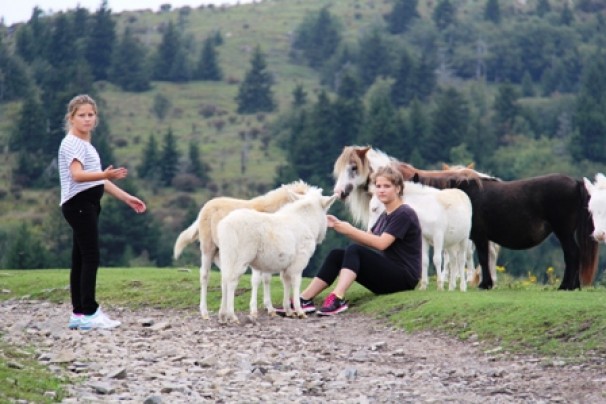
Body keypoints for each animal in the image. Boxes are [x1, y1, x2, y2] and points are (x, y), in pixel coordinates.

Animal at [173, 181, 312, 318]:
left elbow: (266, 279)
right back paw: (205, 312)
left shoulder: (269, 255)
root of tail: (205, 208)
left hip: (222, 251)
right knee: (204, 275)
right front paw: (254, 310)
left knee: (225, 274)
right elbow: (256, 280)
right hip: (208, 247)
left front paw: (270, 309)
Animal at [215, 188, 340, 324]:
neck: (307, 222)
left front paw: (289, 311)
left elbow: (286, 282)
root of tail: (226, 226)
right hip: (241, 257)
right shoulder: (299, 260)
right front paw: (299, 311)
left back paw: (222, 315)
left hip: (227, 255)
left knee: (224, 280)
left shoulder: (287, 265)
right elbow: (296, 283)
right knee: (232, 281)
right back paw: (232, 315)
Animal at [334, 145, 600, 290]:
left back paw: (566, 286)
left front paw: (482, 284)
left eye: (354, 168)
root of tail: (576, 182)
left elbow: (476, 257)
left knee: (572, 254)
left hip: (563, 231)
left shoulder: (477, 236)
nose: (340, 192)